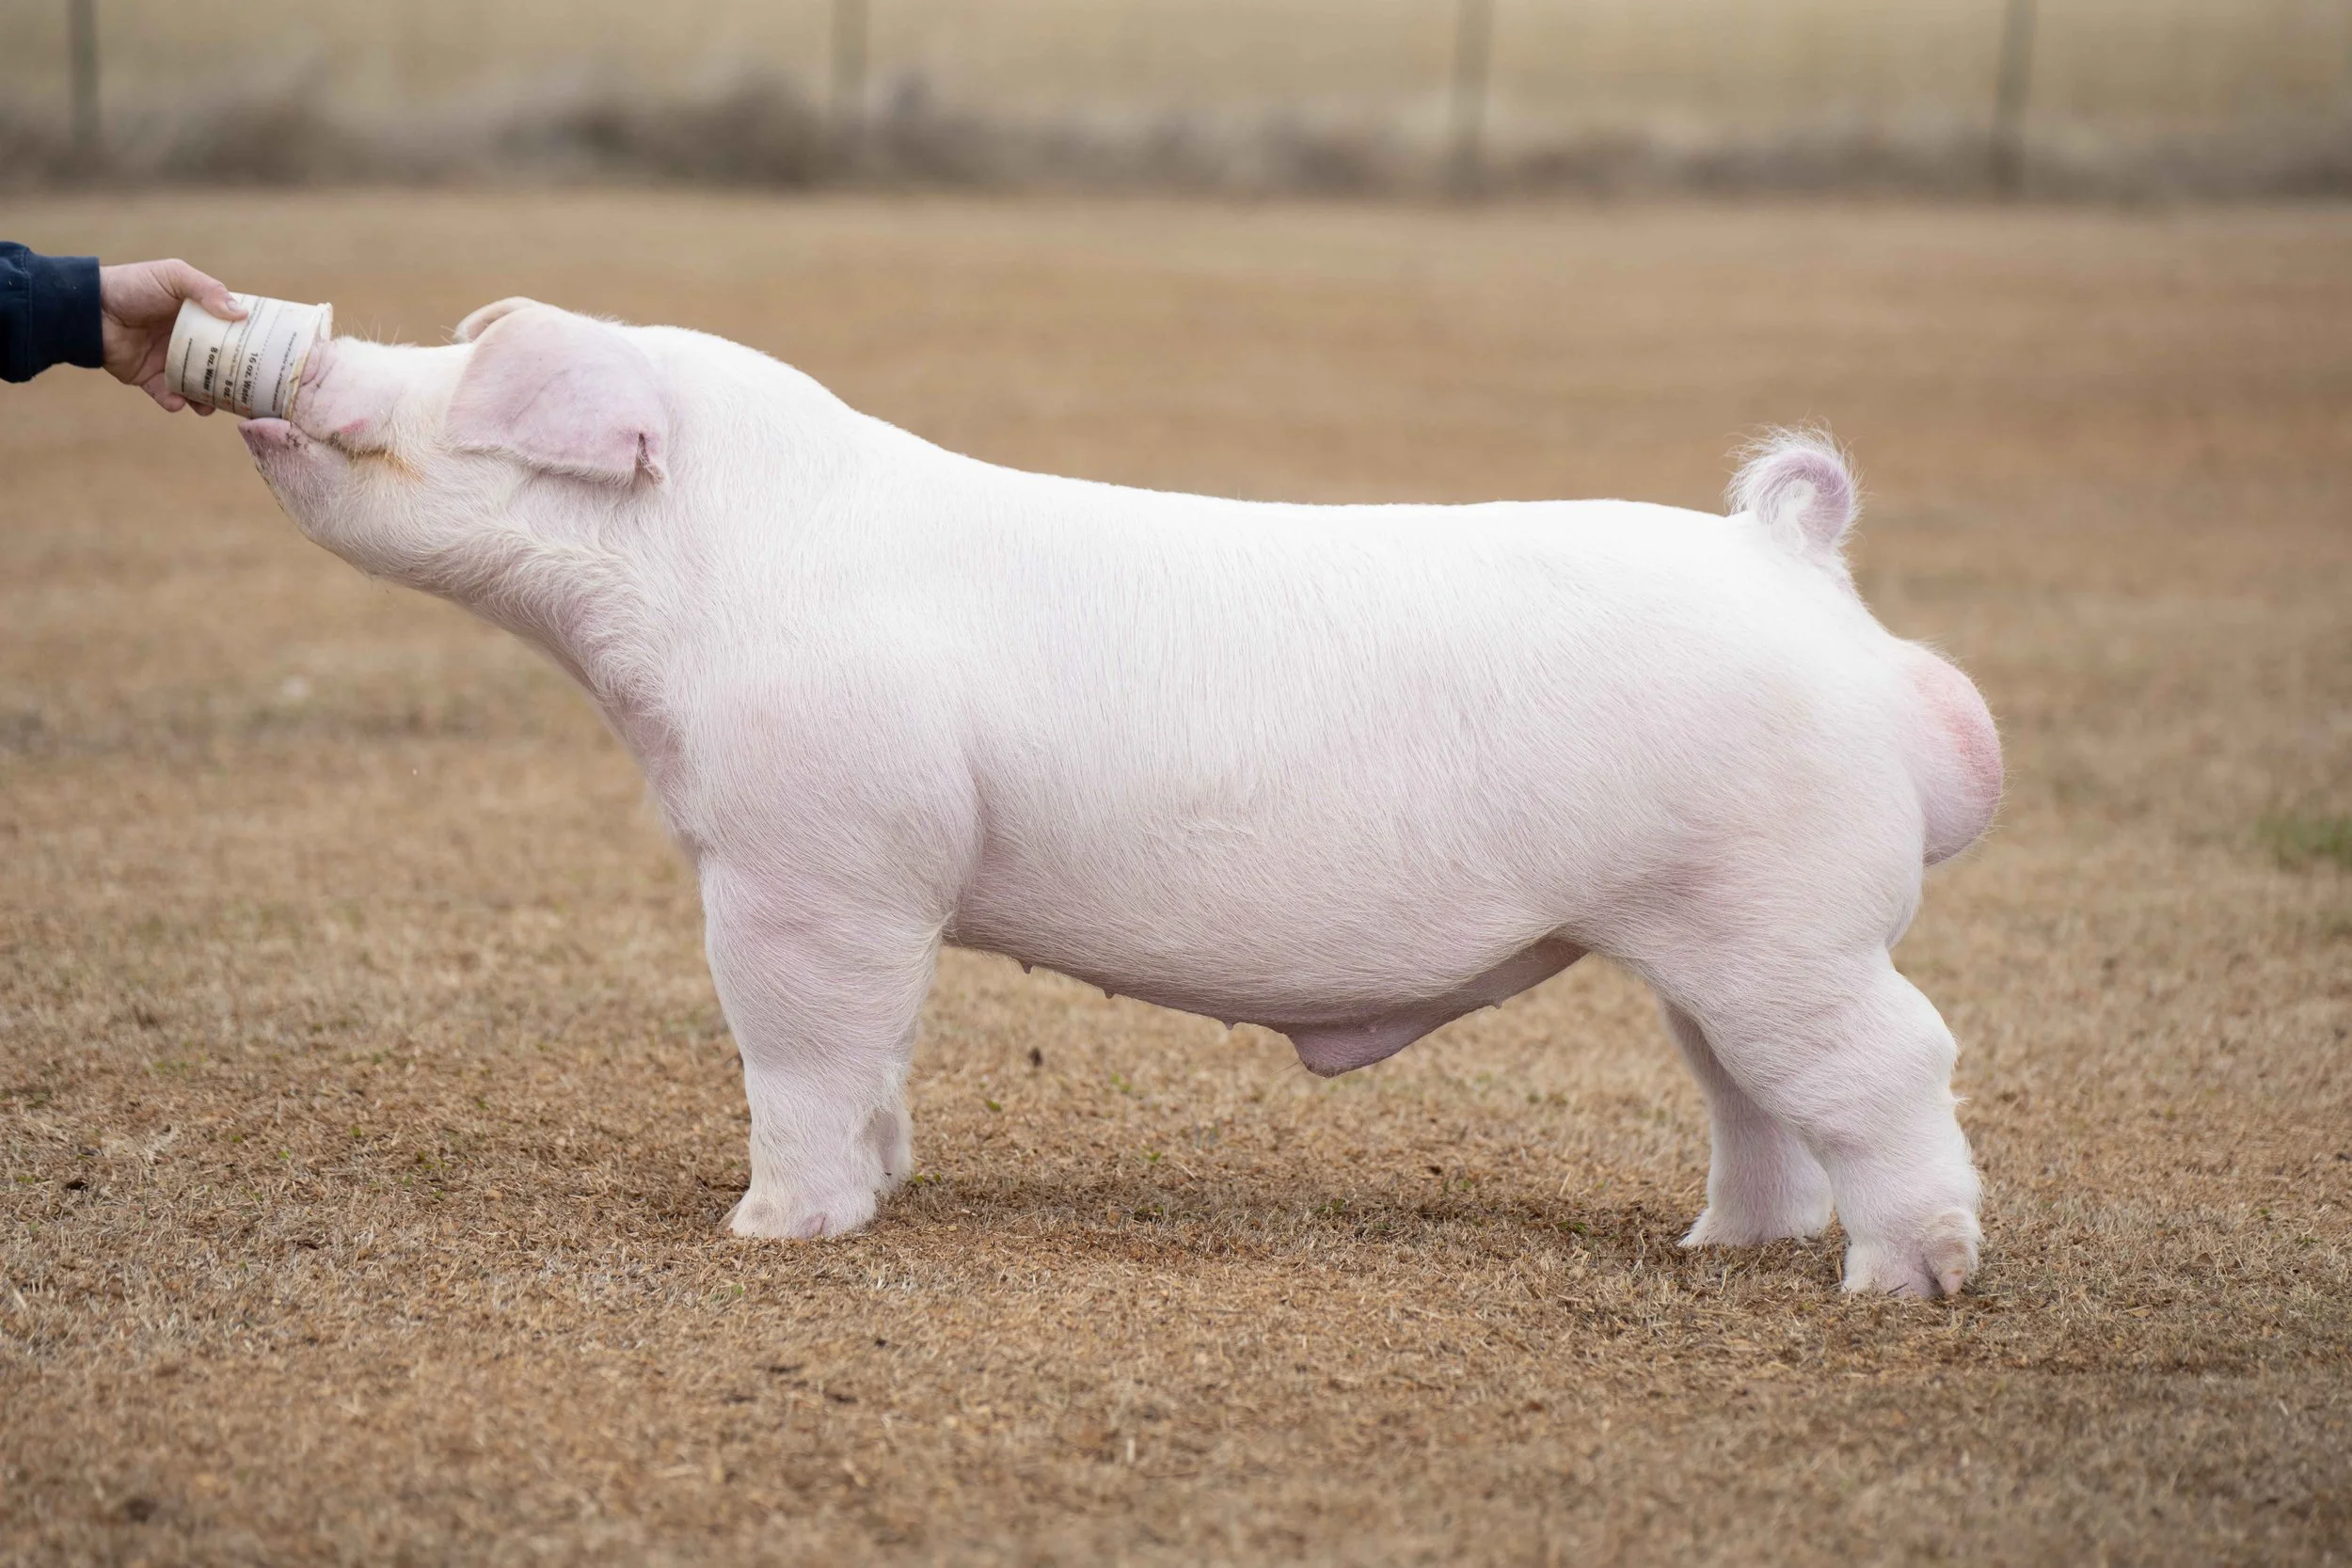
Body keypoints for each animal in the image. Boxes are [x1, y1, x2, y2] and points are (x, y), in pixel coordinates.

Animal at [240, 298, 2001, 1297]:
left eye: (458, 374)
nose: (309, 359)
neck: (691, 597)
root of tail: (1797, 568)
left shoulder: (811, 854)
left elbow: (799, 1047)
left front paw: (771, 1230)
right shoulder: (874, 883)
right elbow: (883, 1052)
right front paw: (885, 1185)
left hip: (1788, 915)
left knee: (1896, 1059)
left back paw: (1902, 1282)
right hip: (1714, 935)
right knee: (1749, 1092)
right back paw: (1723, 1248)